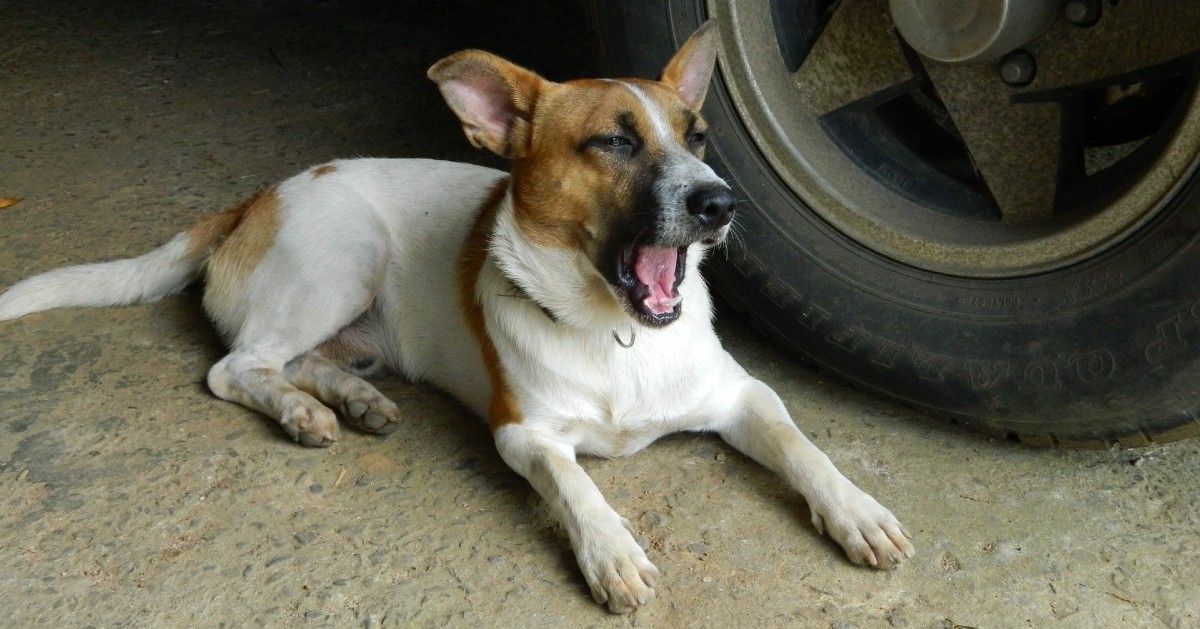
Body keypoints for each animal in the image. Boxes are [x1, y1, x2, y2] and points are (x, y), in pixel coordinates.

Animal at [0, 20, 907, 614]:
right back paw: (301, 413)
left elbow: (803, 445)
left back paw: (351, 400)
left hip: (352, 320)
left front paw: (858, 510)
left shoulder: (744, 396)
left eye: (700, 136)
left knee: (295, 360)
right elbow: (578, 485)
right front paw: (612, 550)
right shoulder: (523, 434)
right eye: (612, 143)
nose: (721, 203)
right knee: (238, 366)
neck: (614, 336)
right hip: (346, 259)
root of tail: (256, 197)